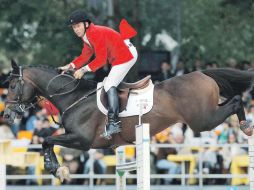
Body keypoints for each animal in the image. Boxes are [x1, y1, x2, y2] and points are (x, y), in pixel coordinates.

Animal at [2, 59, 254, 181]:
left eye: (13, 85)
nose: (6, 115)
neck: (73, 97)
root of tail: (202, 73)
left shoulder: (81, 140)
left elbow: (47, 141)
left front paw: (56, 169)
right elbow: (48, 142)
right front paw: (57, 169)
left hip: (202, 121)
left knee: (236, 101)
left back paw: (245, 126)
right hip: (206, 114)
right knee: (232, 101)